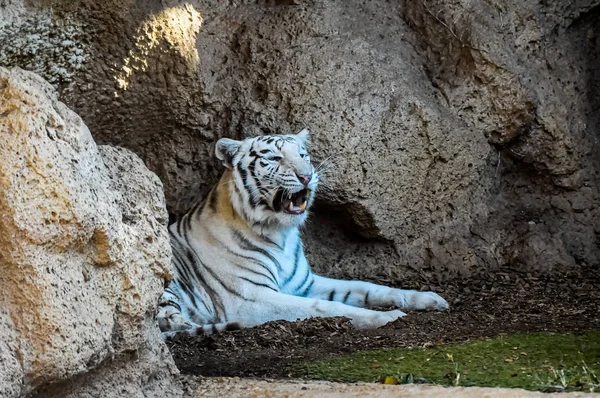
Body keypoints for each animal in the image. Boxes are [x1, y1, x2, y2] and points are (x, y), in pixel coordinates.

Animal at [157, 130, 448, 336]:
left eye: (303, 155)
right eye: (274, 158)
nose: (307, 176)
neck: (279, 233)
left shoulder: (303, 283)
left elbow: (365, 287)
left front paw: (424, 298)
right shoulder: (251, 298)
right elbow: (328, 307)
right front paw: (387, 316)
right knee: (170, 326)